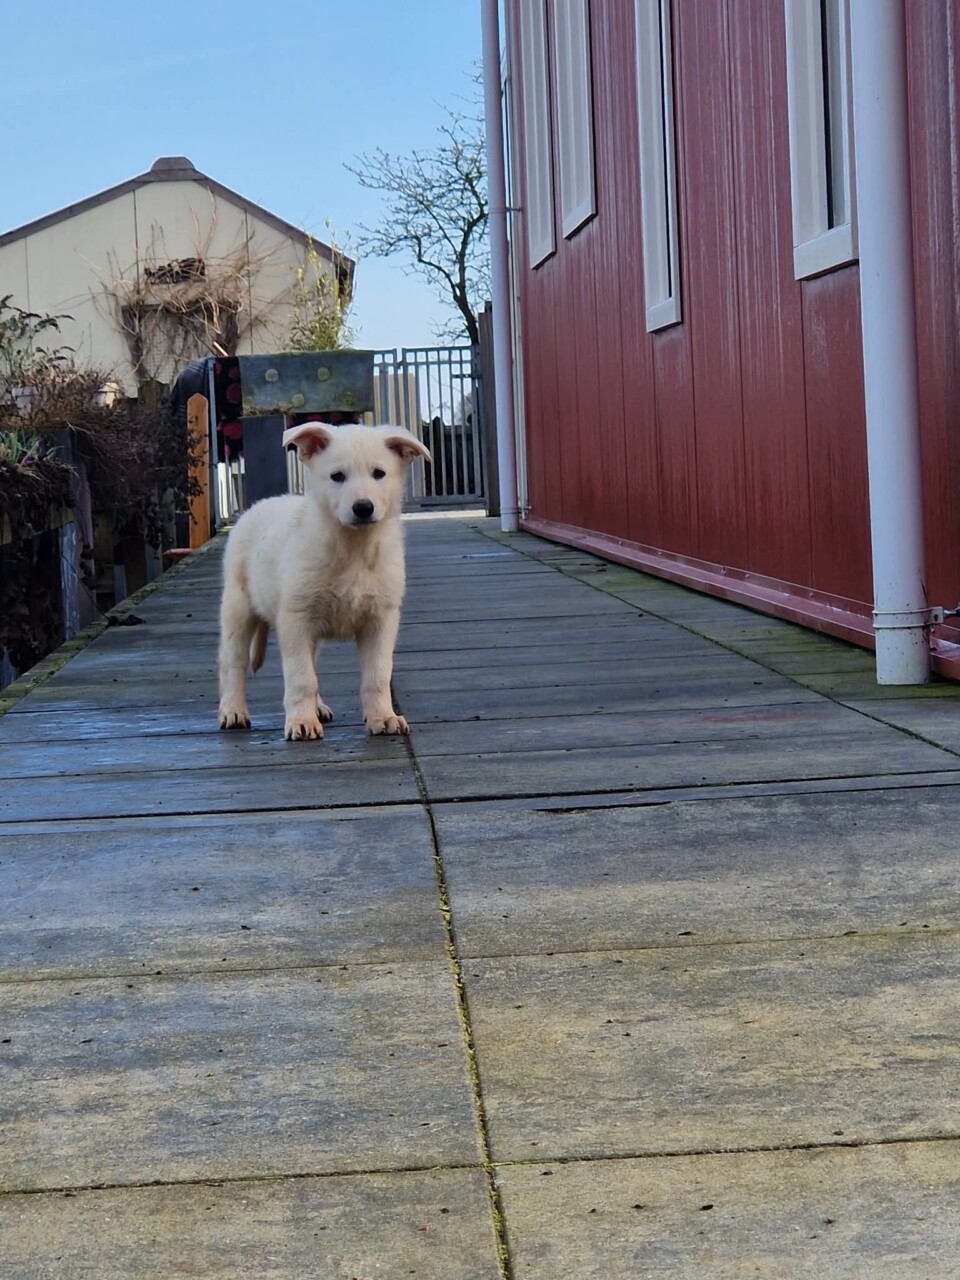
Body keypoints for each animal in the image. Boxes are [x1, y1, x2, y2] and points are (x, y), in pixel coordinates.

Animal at [217, 421, 430, 740]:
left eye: (379, 473)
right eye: (337, 476)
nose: (363, 508)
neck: (353, 549)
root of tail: (260, 504)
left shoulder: (381, 619)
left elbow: (377, 675)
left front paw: (383, 717)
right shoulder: (296, 619)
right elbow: (301, 677)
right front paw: (301, 722)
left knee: (312, 662)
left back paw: (318, 708)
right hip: (238, 607)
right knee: (233, 662)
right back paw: (232, 710)